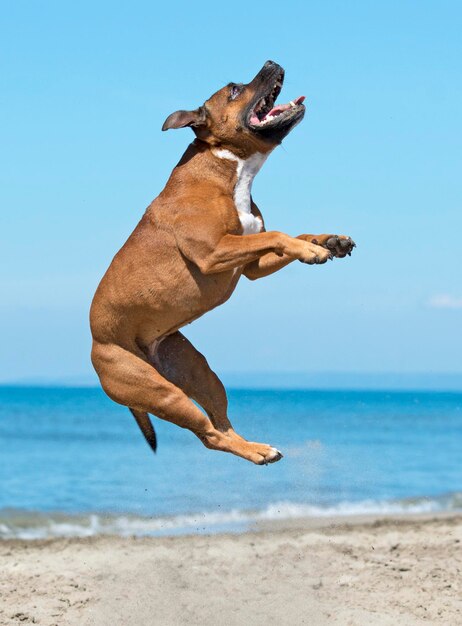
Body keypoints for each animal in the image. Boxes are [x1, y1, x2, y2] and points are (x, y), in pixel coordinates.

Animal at [91, 61, 358, 464]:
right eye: (234, 89)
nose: (271, 62)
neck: (231, 166)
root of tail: (95, 344)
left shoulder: (250, 266)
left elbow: (285, 235)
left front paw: (327, 241)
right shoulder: (214, 252)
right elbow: (277, 234)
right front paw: (311, 250)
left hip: (197, 372)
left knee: (221, 424)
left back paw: (257, 447)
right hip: (160, 391)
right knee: (210, 435)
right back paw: (258, 452)